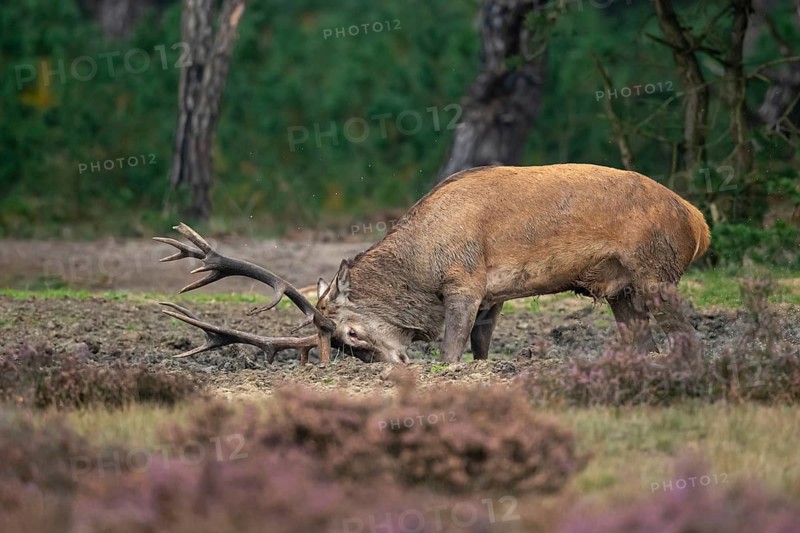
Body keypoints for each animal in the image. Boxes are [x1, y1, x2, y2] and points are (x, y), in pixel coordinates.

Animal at [155, 164, 710, 364]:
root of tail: (698, 221)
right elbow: (481, 347)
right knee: (640, 335)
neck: (420, 265)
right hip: (620, 288)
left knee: (684, 329)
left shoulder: (465, 280)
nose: (391, 364)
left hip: (655, 270)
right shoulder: (493, 295)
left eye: (351, 335)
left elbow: (450, 348)